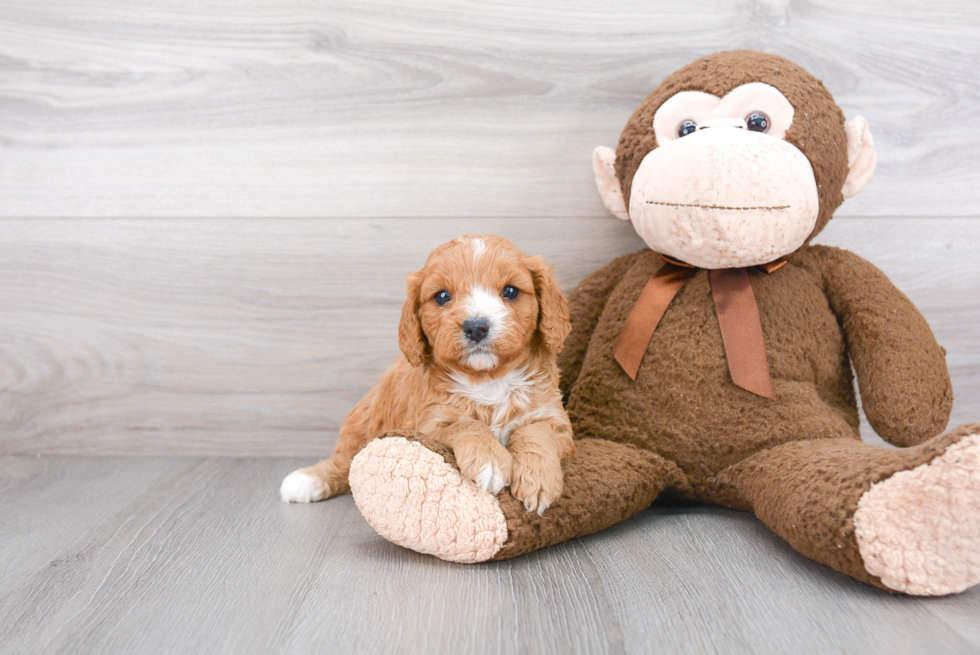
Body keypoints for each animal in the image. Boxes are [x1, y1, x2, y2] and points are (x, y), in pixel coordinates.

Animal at [282, 233, 576, 516]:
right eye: (442, 296)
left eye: (511, 291)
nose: (476, 327)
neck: (488, 379)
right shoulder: (428, 424)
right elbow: (465, 424)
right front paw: (488, 460)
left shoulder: (555, 419)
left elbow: (537, 432)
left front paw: (538, 478)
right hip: (361, 422)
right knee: (345, 462)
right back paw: (308, 480)